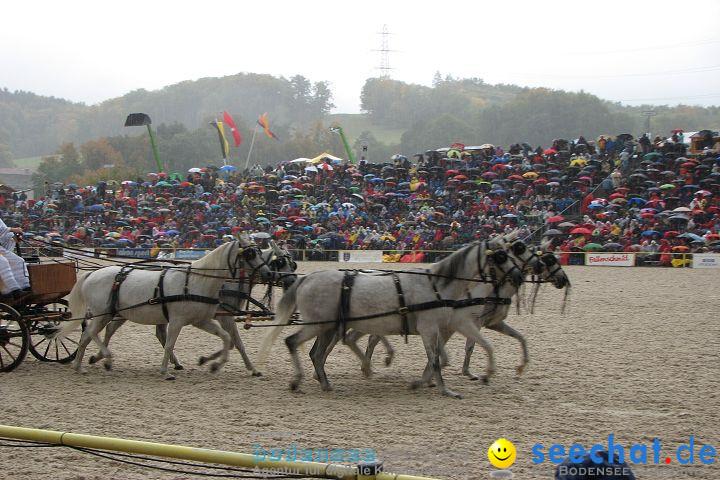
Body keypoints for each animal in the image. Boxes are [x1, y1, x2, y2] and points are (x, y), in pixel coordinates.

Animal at [59, 235, 272, 378]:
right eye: (250, 253)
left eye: (260, 252)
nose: (268, 273)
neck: (196, 281)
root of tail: (92, 274)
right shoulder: (178, 320)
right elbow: (170, 344)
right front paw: (165, 371)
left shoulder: (201, 320)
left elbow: (228, 338)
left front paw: (215, 365)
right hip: (102, 313)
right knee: (91, 333)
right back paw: (104, 358)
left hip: (113, 314)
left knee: (89, 335)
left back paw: (80, 365)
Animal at [258, 236, 524, 398]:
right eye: (500, 256)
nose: (519, 276)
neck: (436, 285)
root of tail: (306, 278)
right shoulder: (429, 328)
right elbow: (435, 360)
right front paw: (444, 390)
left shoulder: (437, 329)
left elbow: (436, 358)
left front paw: (424, 383)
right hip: (319, 325)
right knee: (293, 342)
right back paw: (297, 380)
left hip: (327, 326)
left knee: (316, 353)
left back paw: (325, 383)